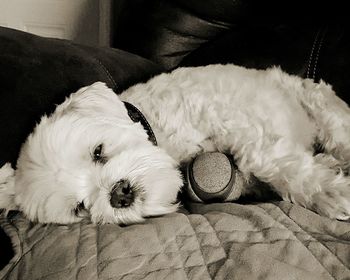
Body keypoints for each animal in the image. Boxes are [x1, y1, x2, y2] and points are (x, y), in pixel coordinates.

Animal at [0, 64, 350, 224]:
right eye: (80, 208)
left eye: (98, 151)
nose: (119, 194)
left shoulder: (238, 123)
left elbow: (270, 161)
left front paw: (330, 192)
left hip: (321, 107)